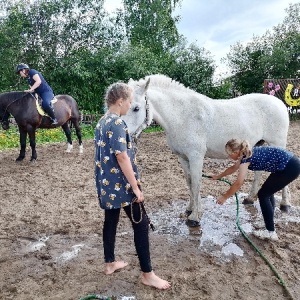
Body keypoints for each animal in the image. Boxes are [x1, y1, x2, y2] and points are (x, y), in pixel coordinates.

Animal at [122, 75, 290, 227]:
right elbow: (189, 182)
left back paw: (285, 204)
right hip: (259, 145)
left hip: (278, 144)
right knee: (258, 172)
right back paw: (249, 199)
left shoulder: (196, 157)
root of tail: (279, 103)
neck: (182, 116)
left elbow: (196, 183)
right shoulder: (183, 158)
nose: (125, 135)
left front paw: (195, 218)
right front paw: (190, 209)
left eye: (136, 108)